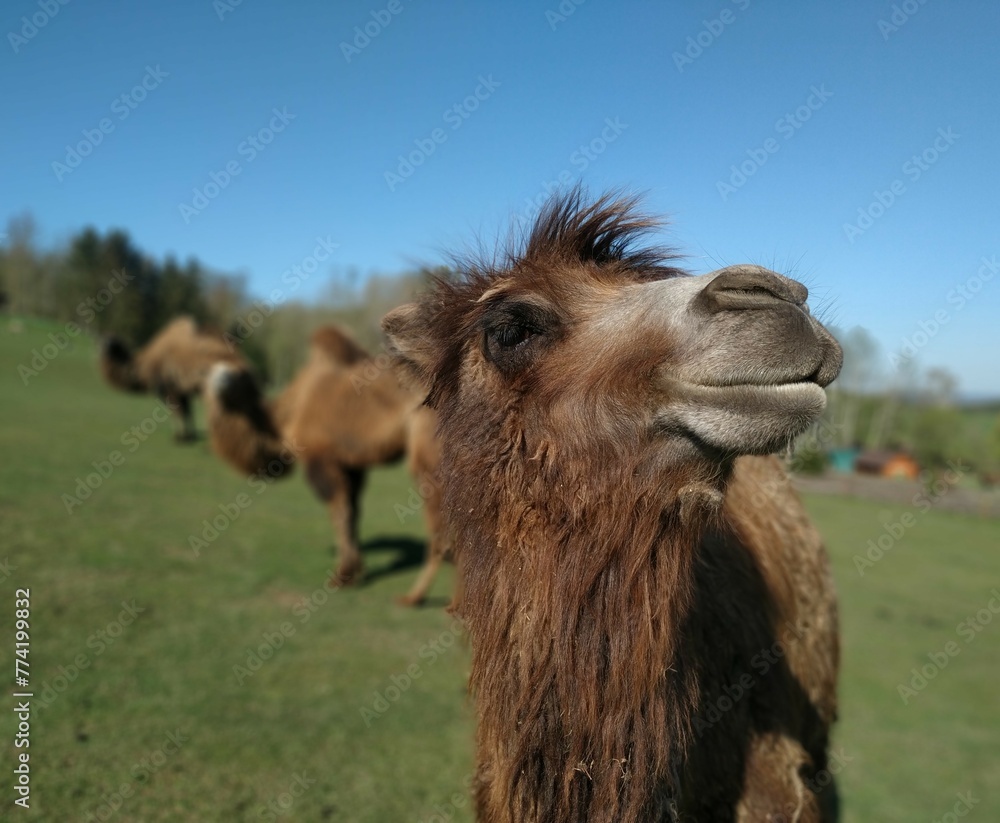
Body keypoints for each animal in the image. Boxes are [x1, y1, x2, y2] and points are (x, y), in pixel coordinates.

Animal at [99, 318, 244, 444]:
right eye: (103, 338)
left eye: (113, 341)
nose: (104, 346)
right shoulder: (180, 389)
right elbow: (186, 411)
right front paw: (189, 436)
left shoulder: (169, 388)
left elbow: (178, 411)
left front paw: (179, 438)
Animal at [205, 326, 448, 604]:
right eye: (209, 367)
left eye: (239, 373)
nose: (219, 380)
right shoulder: (350, 464)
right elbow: (353, 511)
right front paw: (356, 571)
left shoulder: (320, 457)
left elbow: (338, 510)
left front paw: (342, 577)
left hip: (428, 452)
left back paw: (414, 597)